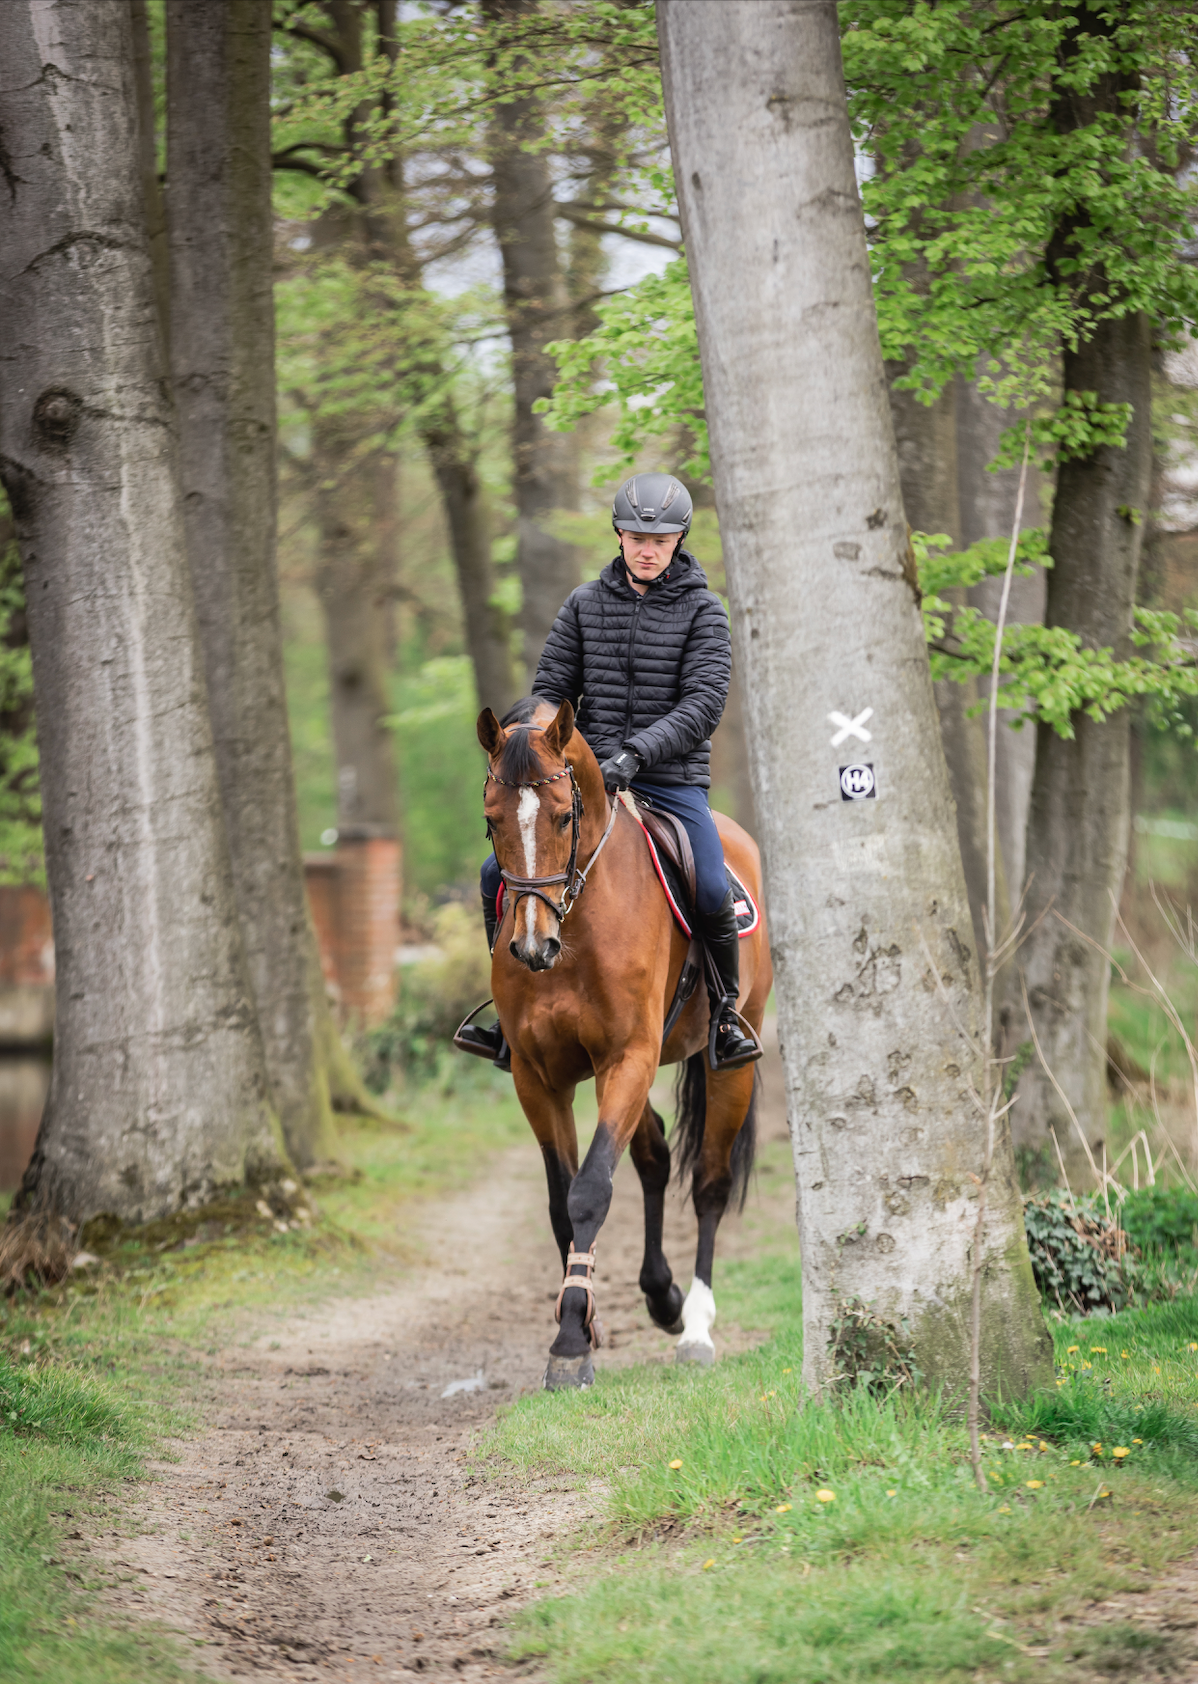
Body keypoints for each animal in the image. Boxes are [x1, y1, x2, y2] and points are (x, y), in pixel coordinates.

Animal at [481, 693, 771, 1380]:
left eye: (564, 817)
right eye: (491, 821)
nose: (532, 947)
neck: (578, 926)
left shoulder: (627, 1058)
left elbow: (590, 1191)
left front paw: (568, 1346)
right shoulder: (539, 1077)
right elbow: (563, 1200)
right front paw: (581, 1327)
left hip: (727, 1065)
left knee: (711, 1182)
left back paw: (695, 1328)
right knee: (655, 1157)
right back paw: (661, 1296)